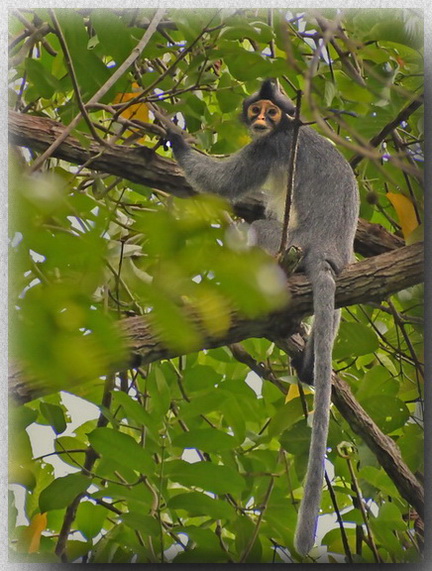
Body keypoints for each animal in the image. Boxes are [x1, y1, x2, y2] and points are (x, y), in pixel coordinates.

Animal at [167, 79, 360, 556]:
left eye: (271, 113)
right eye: (257, 110)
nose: (259, 120)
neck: (287, 128)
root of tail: (325, 251)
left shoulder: (269, 147)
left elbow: (221, 182)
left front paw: (175, 137)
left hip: (284, 241)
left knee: (260, 232)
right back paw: (308, 357)